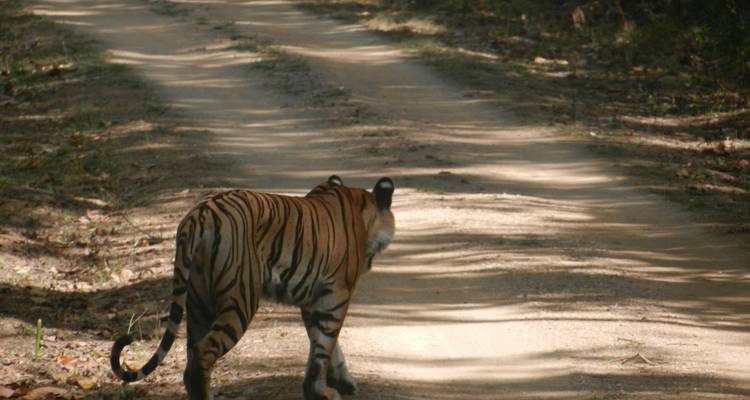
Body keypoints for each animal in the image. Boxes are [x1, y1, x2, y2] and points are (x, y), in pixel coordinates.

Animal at [110, 175, 395, 400]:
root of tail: (197, 216)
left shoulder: (312, 300)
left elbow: (324, 344)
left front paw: (340, 382)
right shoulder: (336, 295)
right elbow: (324, 345)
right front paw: (321, 391)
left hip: (198, 302)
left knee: (191, 356)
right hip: (241, 299)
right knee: (203, 351)